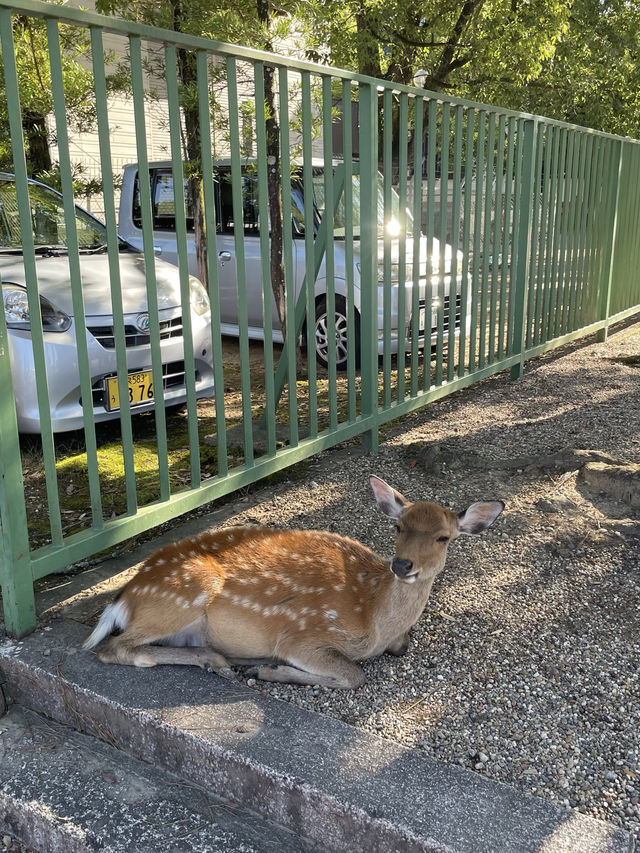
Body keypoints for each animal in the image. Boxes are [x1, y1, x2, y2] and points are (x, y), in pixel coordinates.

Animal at [82, 476, 504, 688]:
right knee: (114, 648)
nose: (402, 564)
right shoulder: (302, 636)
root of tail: (123, 597)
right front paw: (270, 671)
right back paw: (227, 662)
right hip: (186, 591)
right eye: (398, 526)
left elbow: (397, 649)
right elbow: (354, 675)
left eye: (443, 537)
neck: (374, 619)